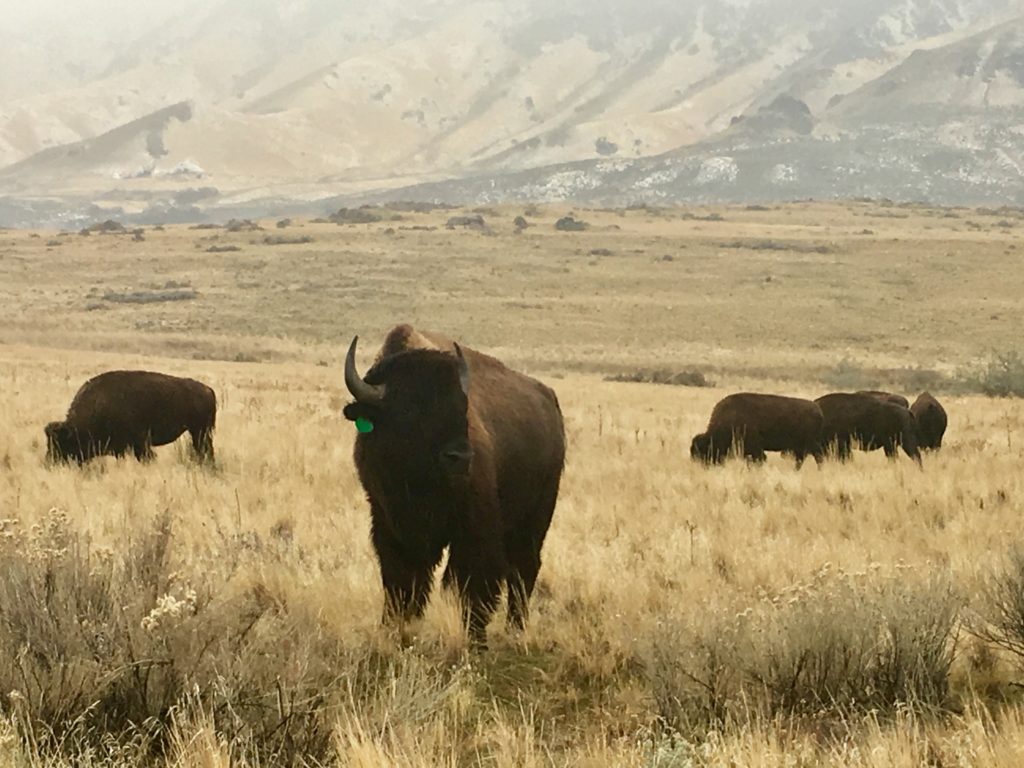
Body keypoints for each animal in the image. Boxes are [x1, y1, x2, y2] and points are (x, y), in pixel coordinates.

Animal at [45, 370, 217, 466]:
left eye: (60, 444)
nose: (49, 462)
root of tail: (208, 389)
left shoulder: (140, 443)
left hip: (199, 431)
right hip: (198, 432)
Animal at [344, 325, 569, 651]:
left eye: (462, 406)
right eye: (410, 408)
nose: (460, 456)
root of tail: (549, 399)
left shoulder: (475, 529)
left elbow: (475, 582)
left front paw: (476, 639)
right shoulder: (389, 523)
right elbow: (402, 581)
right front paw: (397, 630)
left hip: (537, 516)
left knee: (523, 569)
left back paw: (515, 629)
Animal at [688, 397, 823, 468]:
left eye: (704, 451)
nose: (704, 466)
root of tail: (818, 410)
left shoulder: (755, 449)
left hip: (809, 444)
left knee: (817, 456)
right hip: (800, 447)